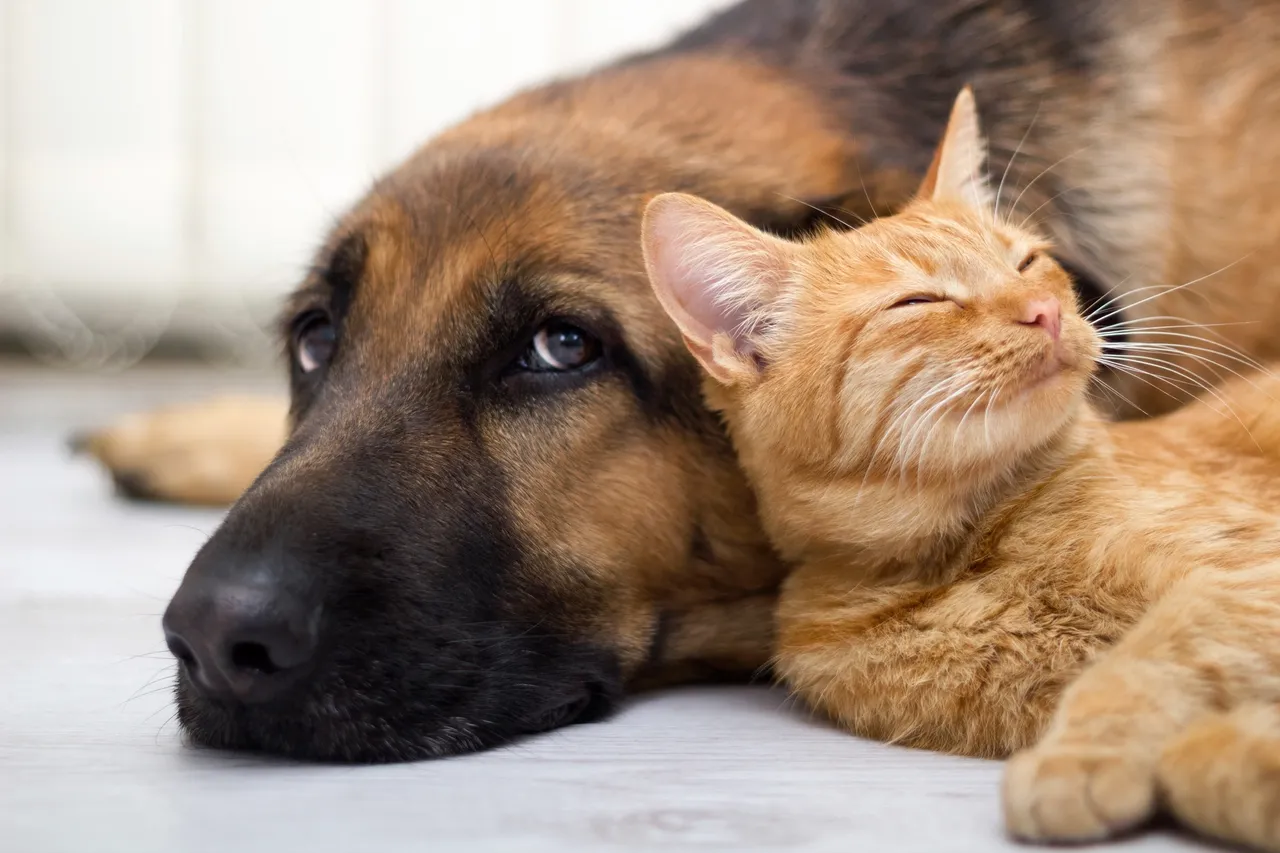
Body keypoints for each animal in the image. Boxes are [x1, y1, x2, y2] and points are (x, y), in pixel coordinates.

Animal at [645, 87, 1280, 850]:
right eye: (921, 301)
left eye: (1028, 263)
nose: (1044, 312)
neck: (971, 551)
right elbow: (1200, 744)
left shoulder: (1248, 574)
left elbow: (1157, 653)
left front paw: (1078, 757)